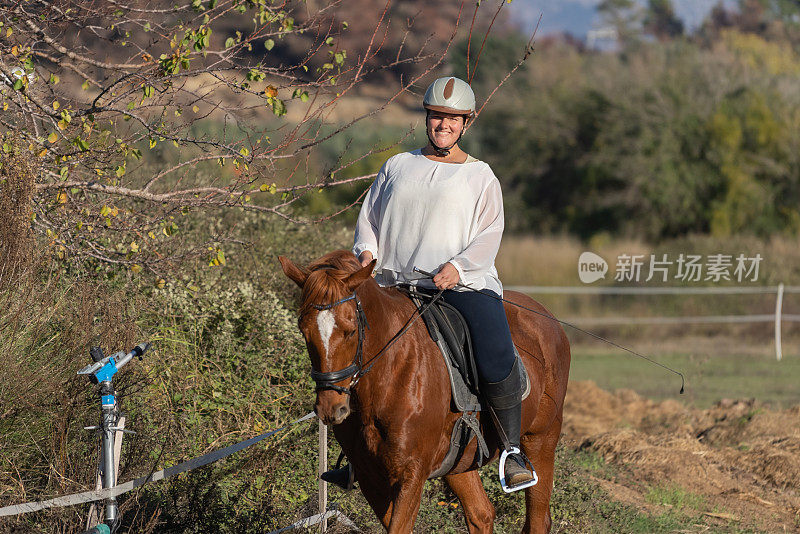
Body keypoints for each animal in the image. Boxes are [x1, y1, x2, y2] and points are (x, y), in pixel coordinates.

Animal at [280, 252, 568, 534]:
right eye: (304, 330)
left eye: (350, 331)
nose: (330, 408)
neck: (389, 375)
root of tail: (546, 316)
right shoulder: (371, 477)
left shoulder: (411, 474)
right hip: (459, 462)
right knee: (481, 514)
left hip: (541, 441)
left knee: (537, 520)